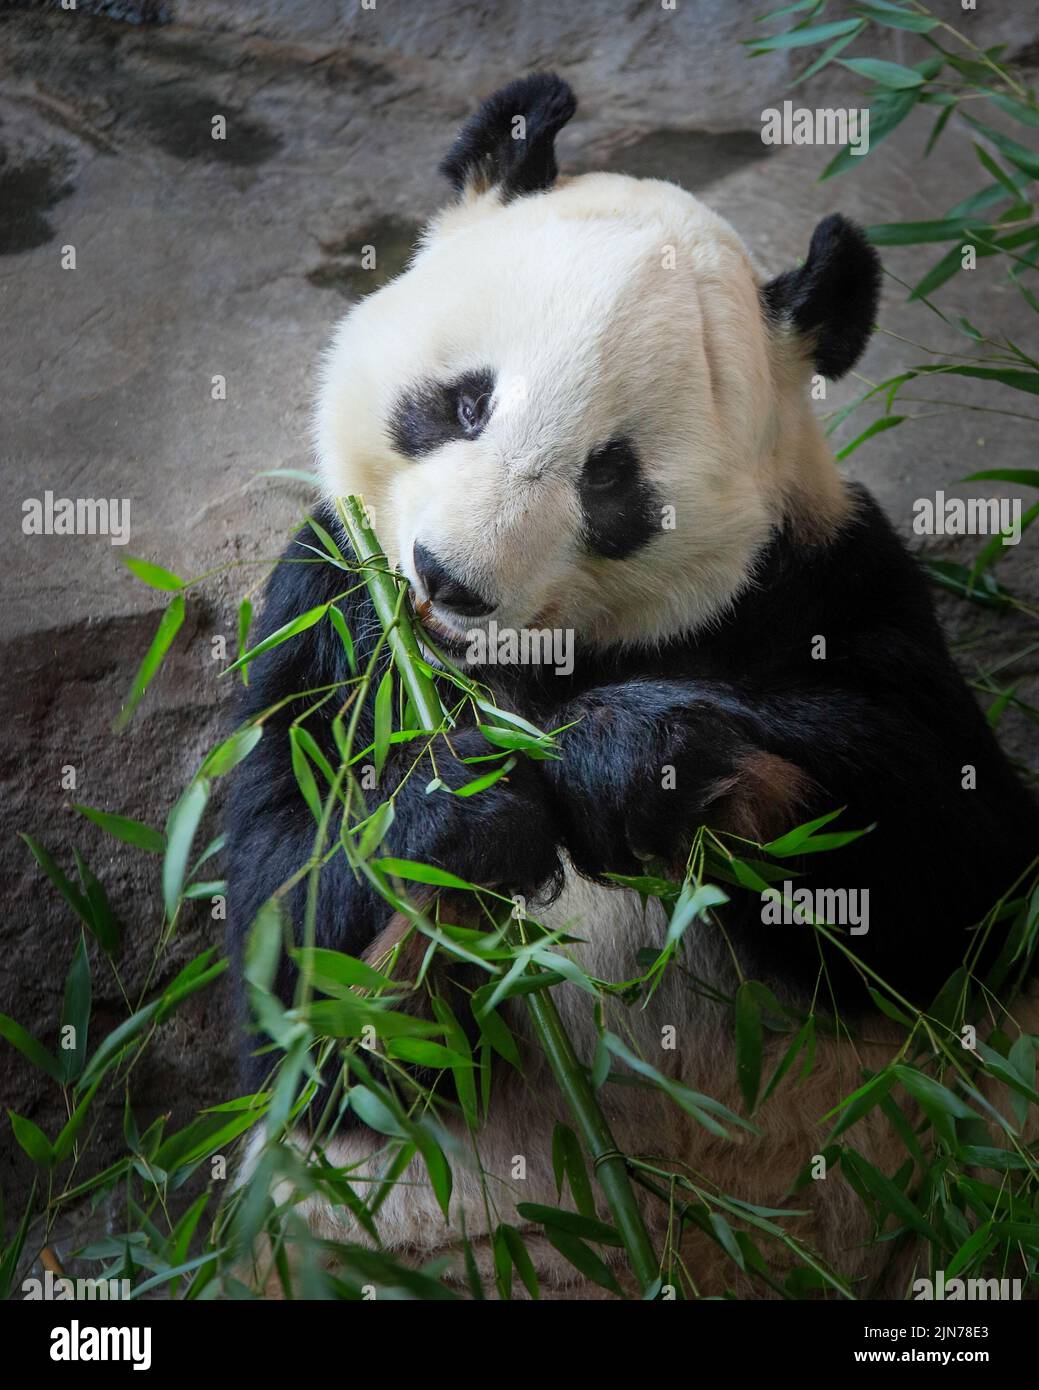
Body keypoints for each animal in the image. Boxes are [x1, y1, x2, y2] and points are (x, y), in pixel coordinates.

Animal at [227, 74, 1039, 1298]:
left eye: (611, 480)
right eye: (465, 404)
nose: (452, 582)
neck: (519, 672)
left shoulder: (828, 582)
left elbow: (962, 881)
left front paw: (633, 761)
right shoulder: (326, 611)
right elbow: (285, 955)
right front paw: (466, 812)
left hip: (944, 1168)